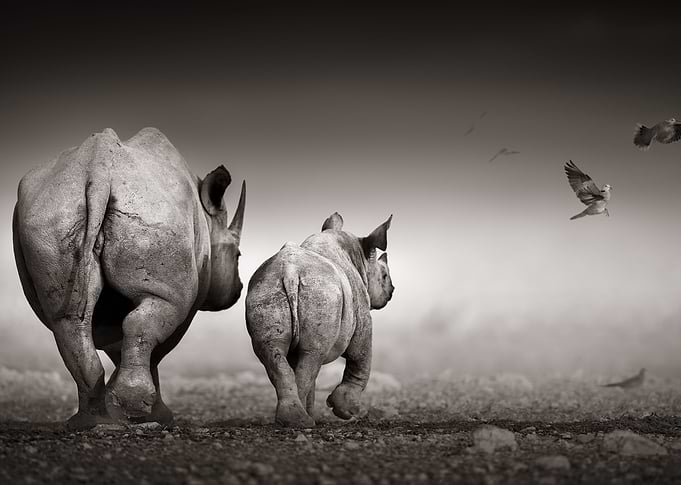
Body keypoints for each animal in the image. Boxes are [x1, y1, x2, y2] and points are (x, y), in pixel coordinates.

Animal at [13, 127, 246, 430]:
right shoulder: (186, 294)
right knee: (148, 316)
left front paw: (122, 406)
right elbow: (157, 346)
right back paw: (130, 411)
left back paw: (89, 421)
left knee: (67, 322)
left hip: (51, 214)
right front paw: (153, 414)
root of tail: (98, 171)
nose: (238, 289)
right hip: (151, 212)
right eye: (238, 255)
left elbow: (118, 343)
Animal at [246, 212, 394, 427]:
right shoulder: (362, 316)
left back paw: (296, 420)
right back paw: (301, 422)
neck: (360, 259)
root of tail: (290, 272)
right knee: (313, 355)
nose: (391, 291)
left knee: (276, 352)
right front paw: (349, 411)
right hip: (321, 293)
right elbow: (360, 358)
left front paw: (315, 413)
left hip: (266, 289)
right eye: (384, 276)